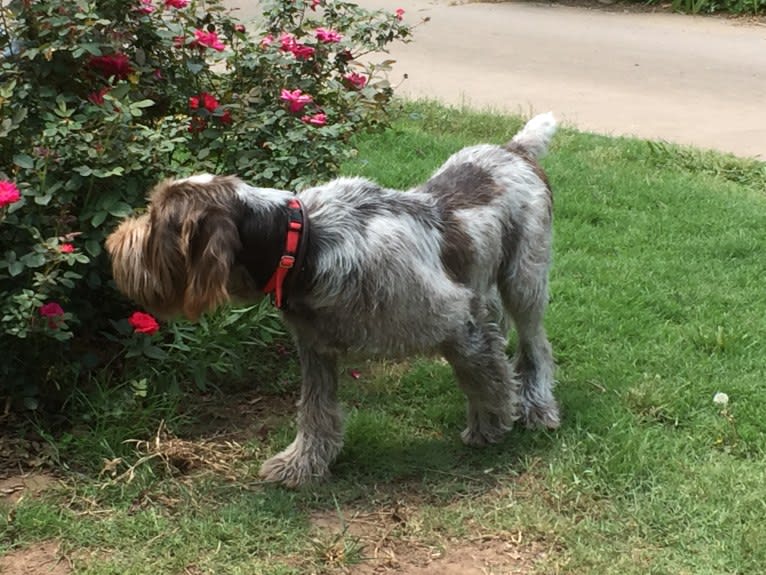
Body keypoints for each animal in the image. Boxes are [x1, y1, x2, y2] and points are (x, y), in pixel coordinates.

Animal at [106, 115, 560, 488]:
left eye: (156, 222)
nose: (112, 244)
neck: (304, 243)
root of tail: (515, 149)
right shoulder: (315, 347)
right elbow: (316, 411)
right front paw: (303, 463)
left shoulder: (459, 320)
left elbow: (484, 378)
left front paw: (491, 423)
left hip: (524, 280)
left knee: (535, 346)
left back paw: (537, 406)